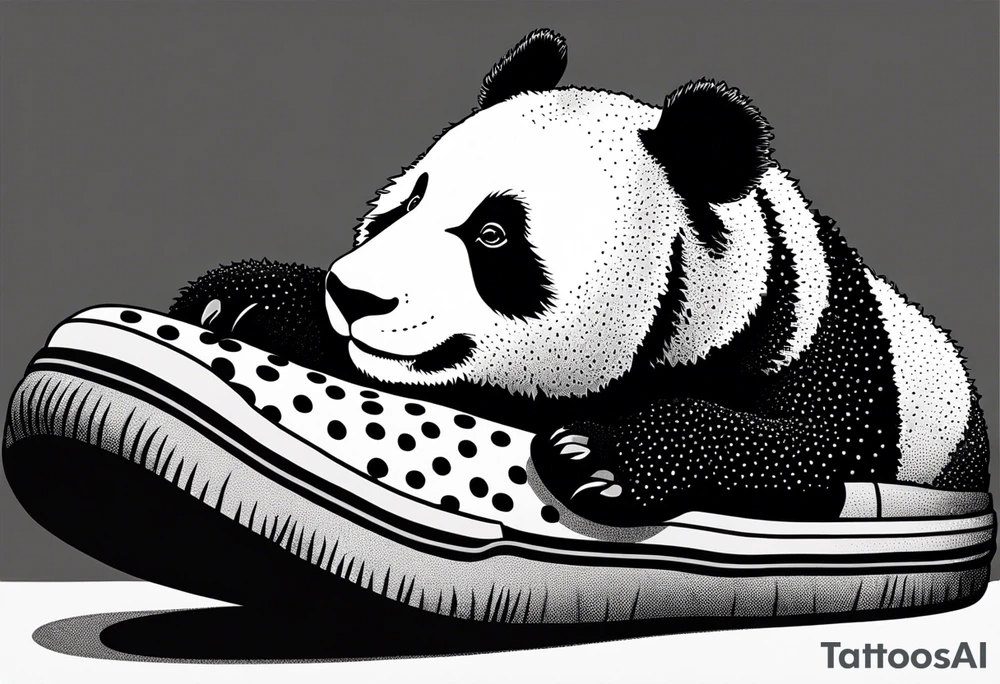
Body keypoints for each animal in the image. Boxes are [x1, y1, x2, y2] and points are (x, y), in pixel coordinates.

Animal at [169, 29, 989, 529]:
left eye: (493, 236)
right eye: (407, 202)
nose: (356, 297)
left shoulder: (818, 357)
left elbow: (811, 443)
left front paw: (594, 461)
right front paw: (242, 298)